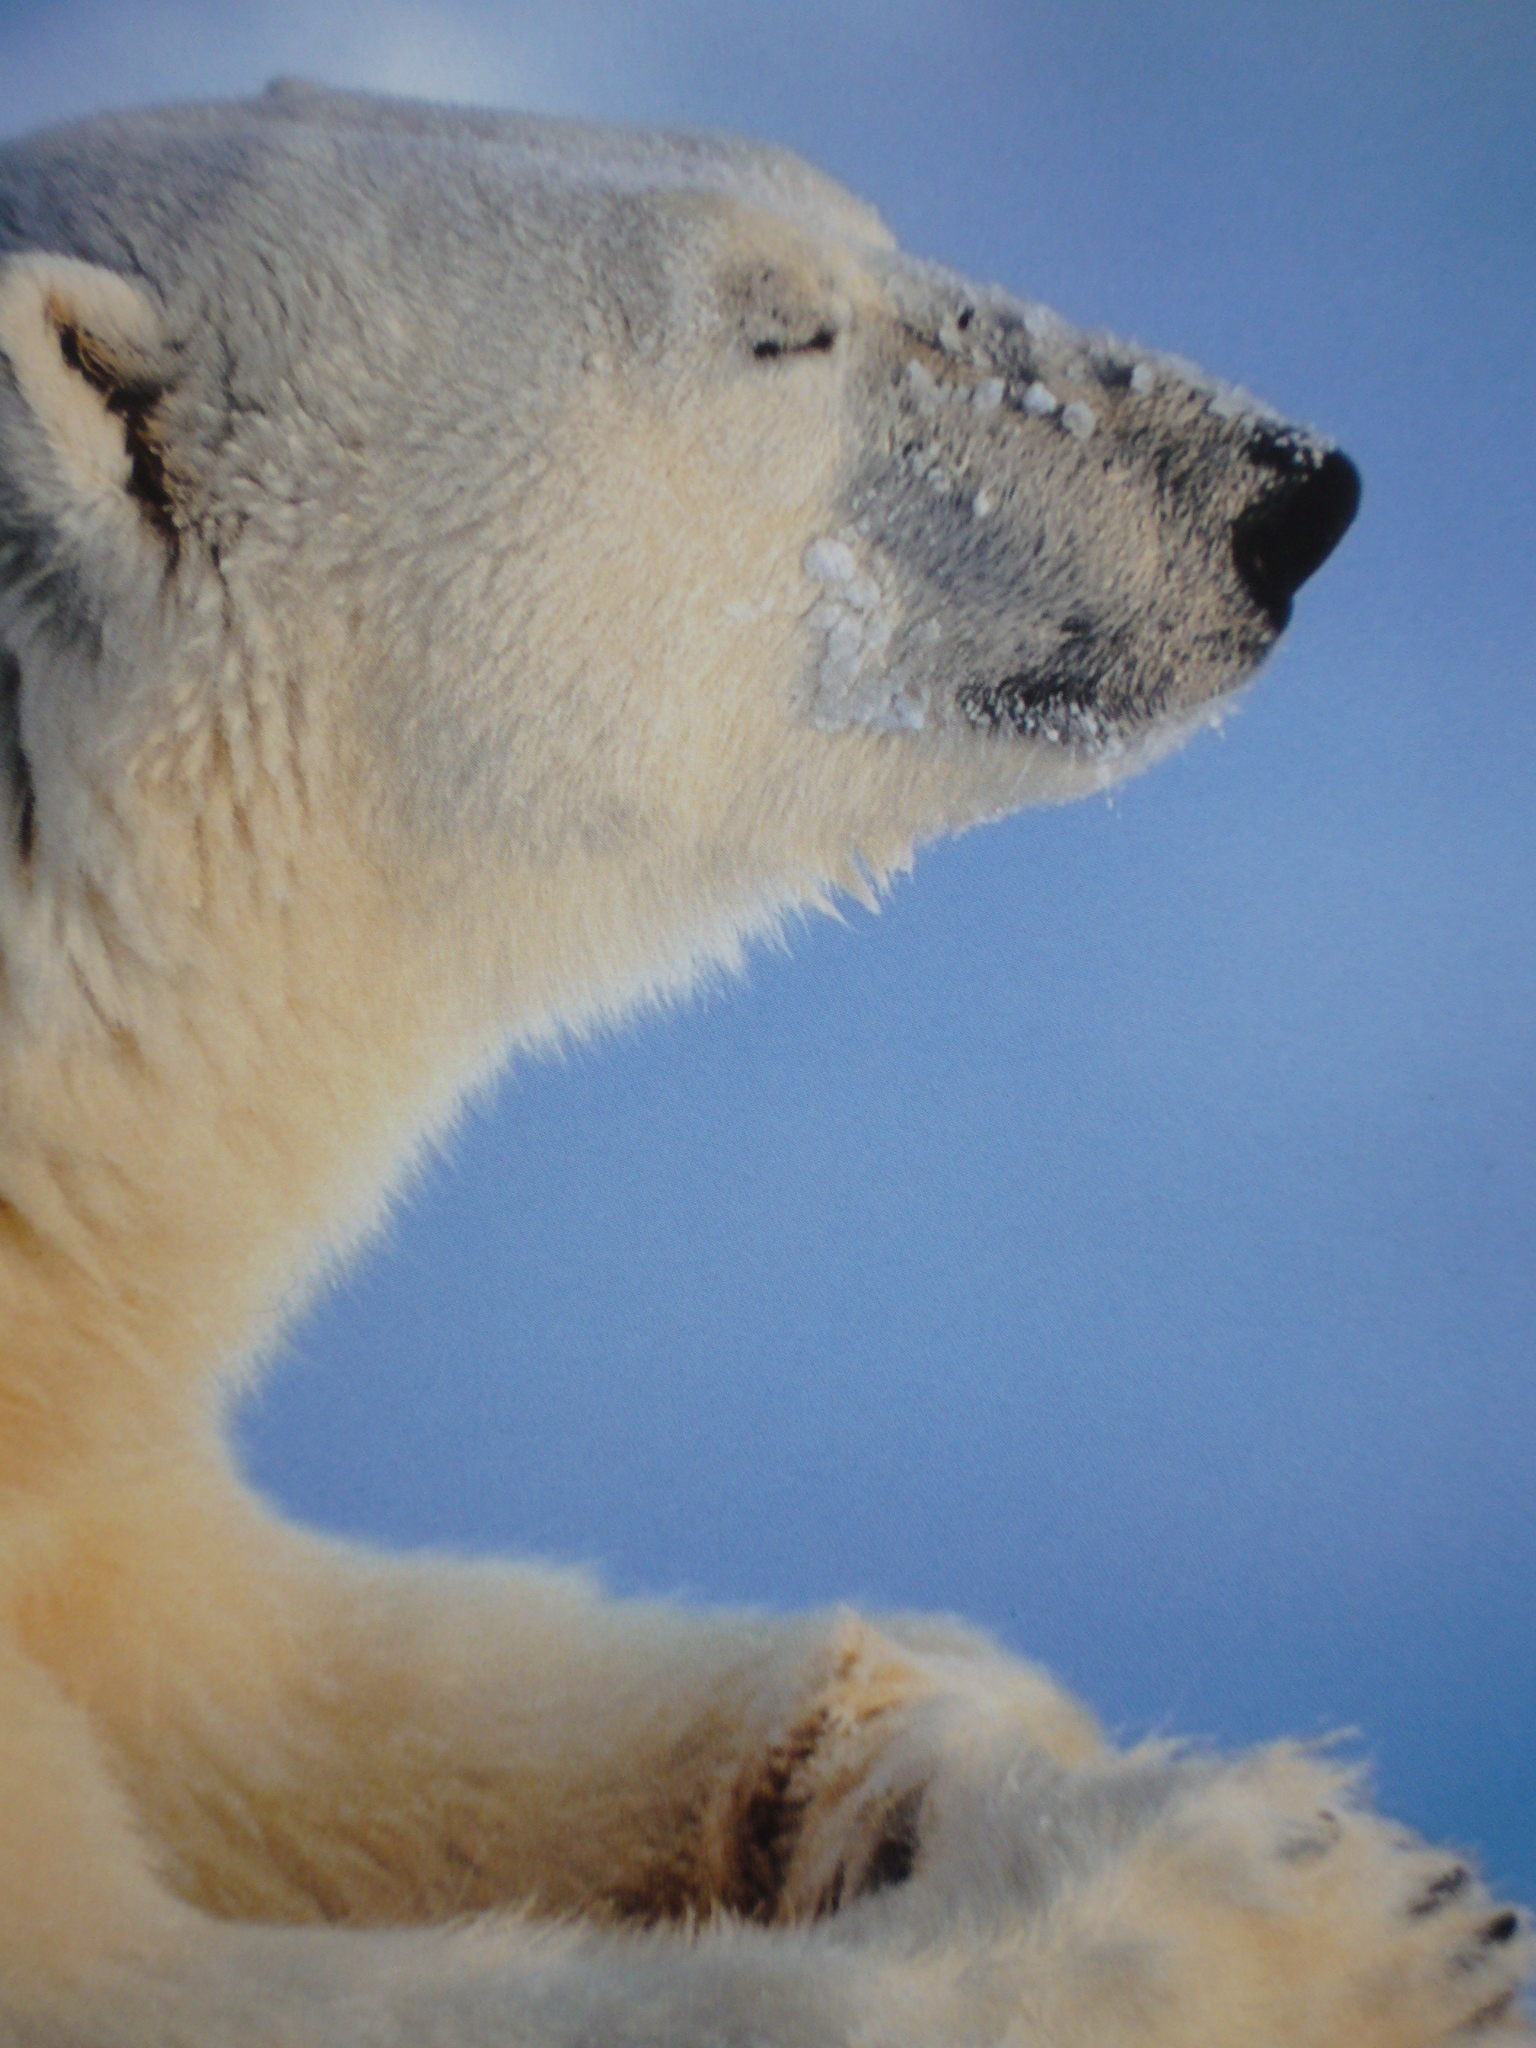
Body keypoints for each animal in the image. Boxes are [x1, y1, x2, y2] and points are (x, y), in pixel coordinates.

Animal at [0, 79, 1523, 2048]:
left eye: (853, 227)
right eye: (776, 329)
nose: (1291, 493)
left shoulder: (80, 1453)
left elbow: (280, 1678)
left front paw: (941, 1741)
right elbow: (167, 1967)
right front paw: (1323, 1906)